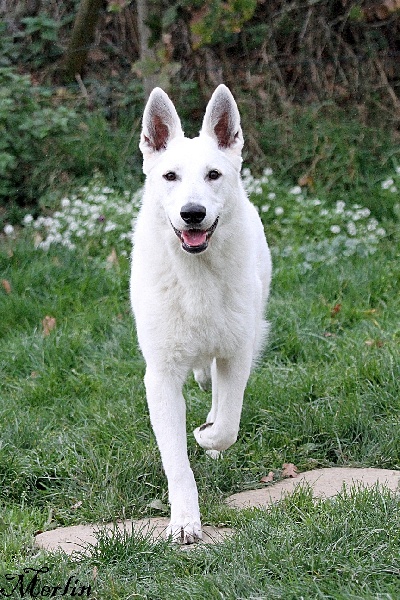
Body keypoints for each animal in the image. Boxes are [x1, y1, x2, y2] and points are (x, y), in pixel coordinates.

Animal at [131, 85, 272, 544]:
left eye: (213, 174)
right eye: (170, 177)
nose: (192, 213)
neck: (196, 274)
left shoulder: (236, 354)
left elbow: (227, 424)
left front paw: (207, 436)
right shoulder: (160, 376)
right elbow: (176, 462)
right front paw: (185, 522)